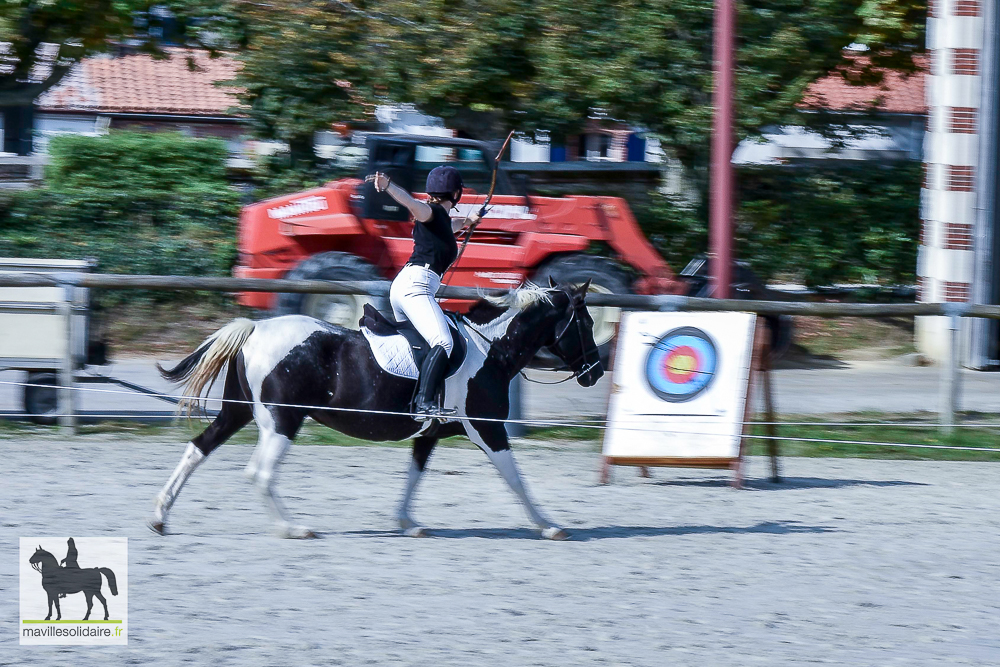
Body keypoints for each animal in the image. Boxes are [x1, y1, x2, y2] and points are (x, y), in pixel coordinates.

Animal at [147, 280, 600, 540]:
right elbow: (516, 480)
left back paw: (160, 517)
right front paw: (548, 526)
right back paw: (293, 529)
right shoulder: (488, 429)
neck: (489, 350)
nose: (594, 372)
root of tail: (256, 328)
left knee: (198, 448)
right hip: (282, 420)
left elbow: (414, 476)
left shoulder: (431, 434)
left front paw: (408, 523)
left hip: (238, 413)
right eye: (587, 323)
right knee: (259, 473)